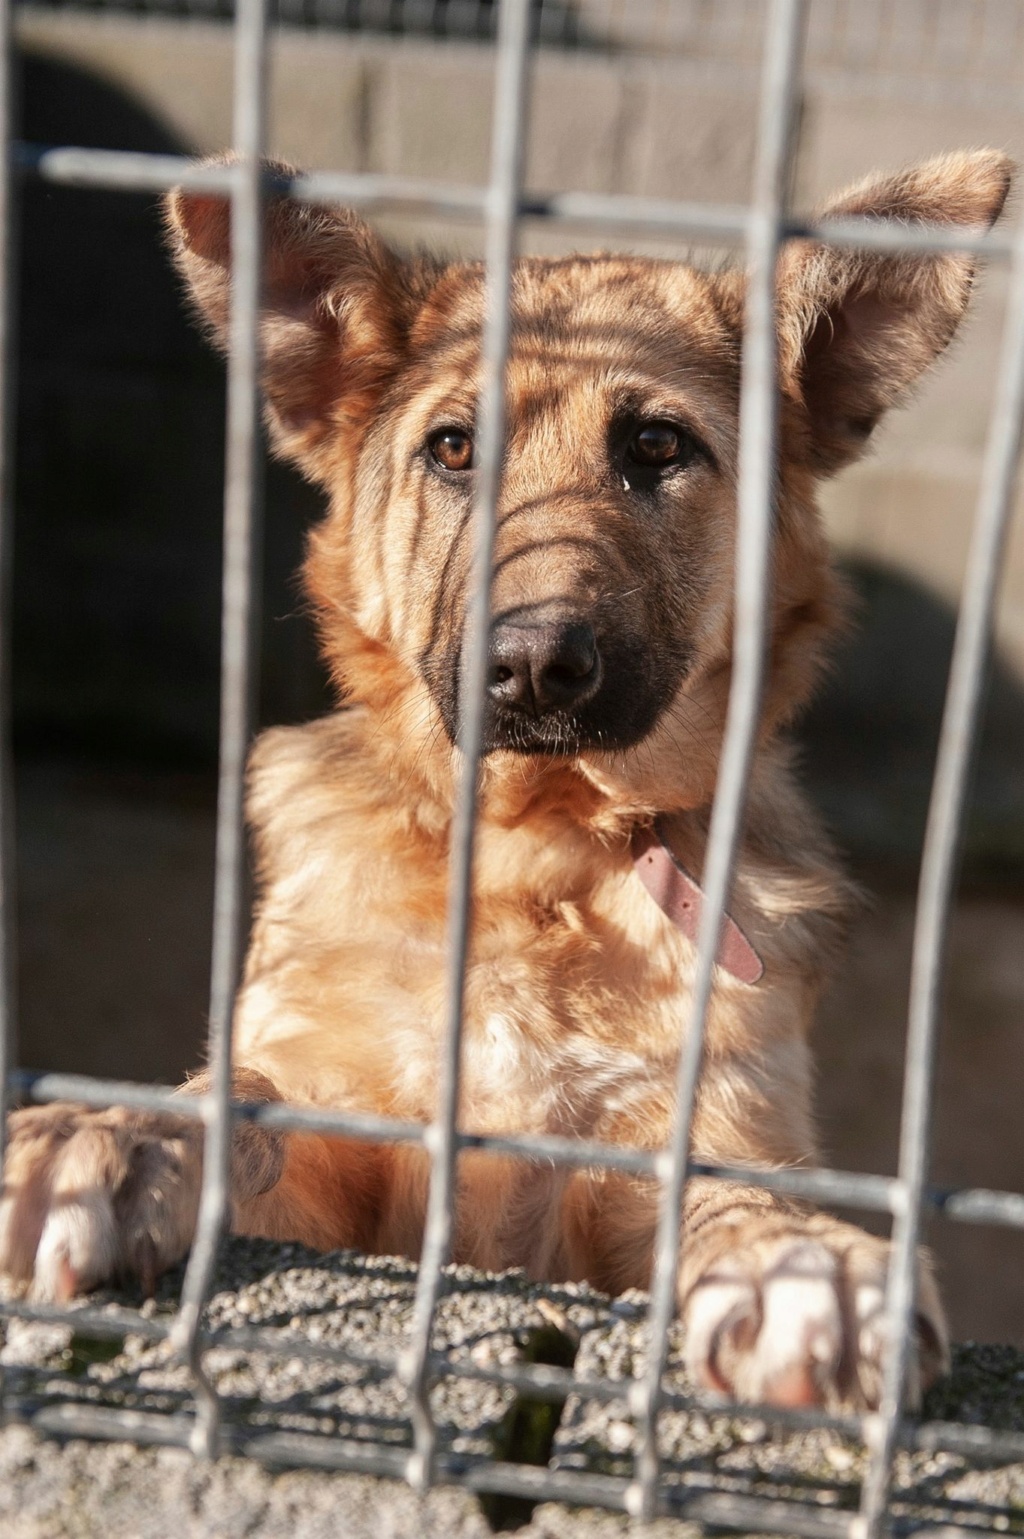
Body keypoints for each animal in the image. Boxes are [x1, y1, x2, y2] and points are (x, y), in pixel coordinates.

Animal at [0, 150, 1003, 1409]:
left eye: (658, 448)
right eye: (453, 449)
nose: (530, 665)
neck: (538, 855)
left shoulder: (668, 1150)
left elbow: (724, 1185)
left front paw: (796, 1259)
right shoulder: (348, 1147)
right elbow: (245, 1090)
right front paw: (110, 1136)